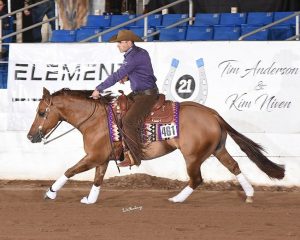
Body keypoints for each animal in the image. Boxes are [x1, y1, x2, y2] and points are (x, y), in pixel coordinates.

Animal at [28, 88, 286, 204]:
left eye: (41, 112)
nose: (31, 136)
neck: (96, 119)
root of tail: (213, 114)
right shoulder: (101, 158)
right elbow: (97, 180)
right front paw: (90, 200)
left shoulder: (93, 156)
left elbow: (70, 170)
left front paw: (50, 192)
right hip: (217, 149)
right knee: (234, 167)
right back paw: (249, 194)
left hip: (193, 156)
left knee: (196, 179)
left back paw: (177, 199)